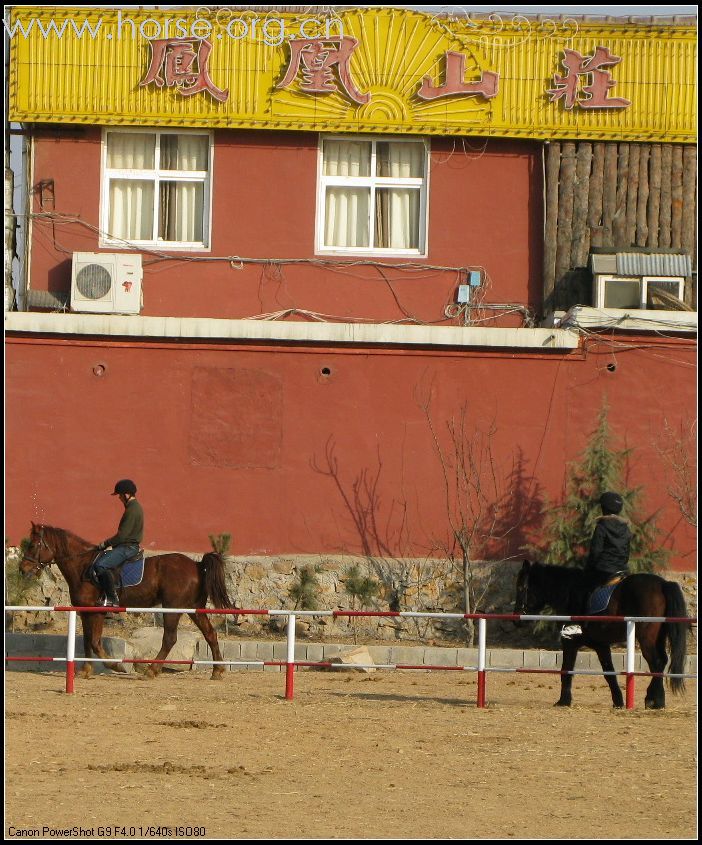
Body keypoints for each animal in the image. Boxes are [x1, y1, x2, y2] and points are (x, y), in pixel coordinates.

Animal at [17, 520, 234, 680]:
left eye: (33, 545)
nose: (22, 569)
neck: (82, 566)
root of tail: (196, 565)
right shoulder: (86, 612)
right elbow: (87, 641)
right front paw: (86, 670)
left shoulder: (97, 612)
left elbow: (95, 642)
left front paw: (116, 666)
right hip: (193, 608)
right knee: (210, 634)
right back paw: (217, 670)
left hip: (173, 608)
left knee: (170, 639)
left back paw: (152, 671)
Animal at [516, 564, 692, 708]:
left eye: (521, 588)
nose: (516, 619)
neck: (570, 592)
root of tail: (663, 584)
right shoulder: (600, 645)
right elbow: (609, 673)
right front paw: (618, 702)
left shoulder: (570, 641)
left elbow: (566, 669)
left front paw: (563, 701)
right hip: (658, 637)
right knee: (661, 661)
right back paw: (657, 700)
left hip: (646, 637)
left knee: (656, 662)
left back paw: (653, 700)